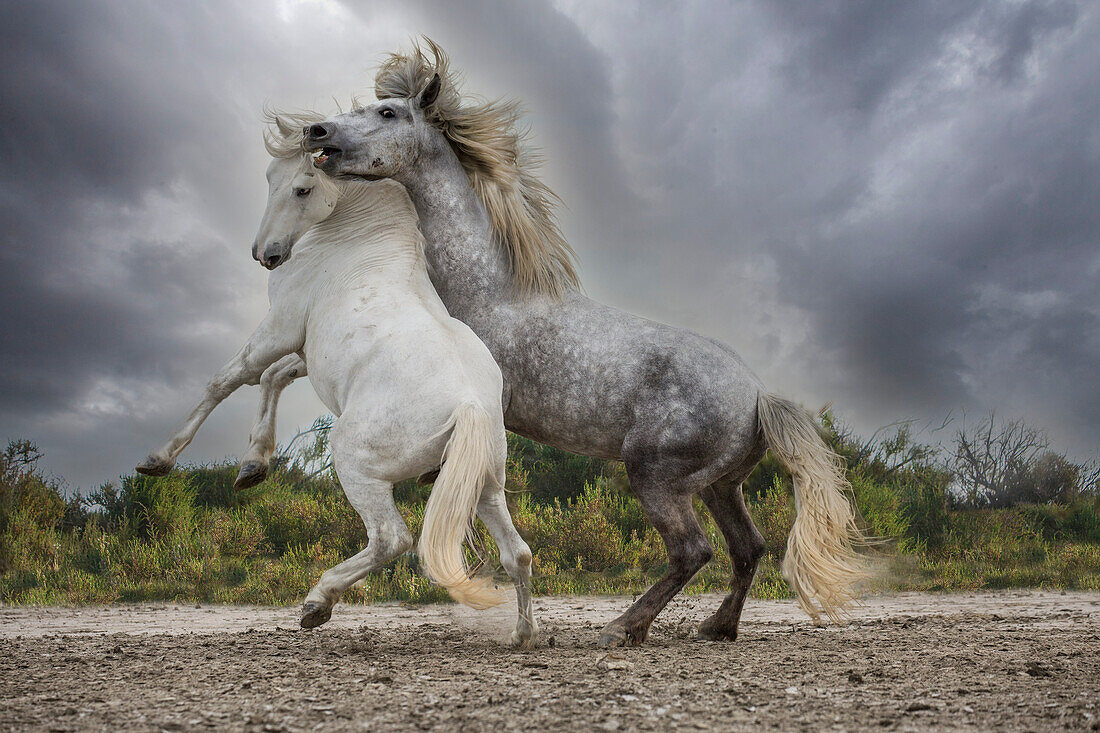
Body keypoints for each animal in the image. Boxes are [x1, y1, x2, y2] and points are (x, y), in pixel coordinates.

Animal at [133, 118, 536, 647]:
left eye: (303, 188)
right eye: (269, 178)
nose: (266, 255)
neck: (360, 241)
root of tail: (468, 406)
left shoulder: (278, 330)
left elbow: (229, 380)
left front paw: (158, 459)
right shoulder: (305, 352)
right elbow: (272, 378)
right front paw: (253, 466)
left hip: (356, 465)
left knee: (392, 539)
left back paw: (317, 603)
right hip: (485, 486)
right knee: (518, 553)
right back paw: (522, 634)